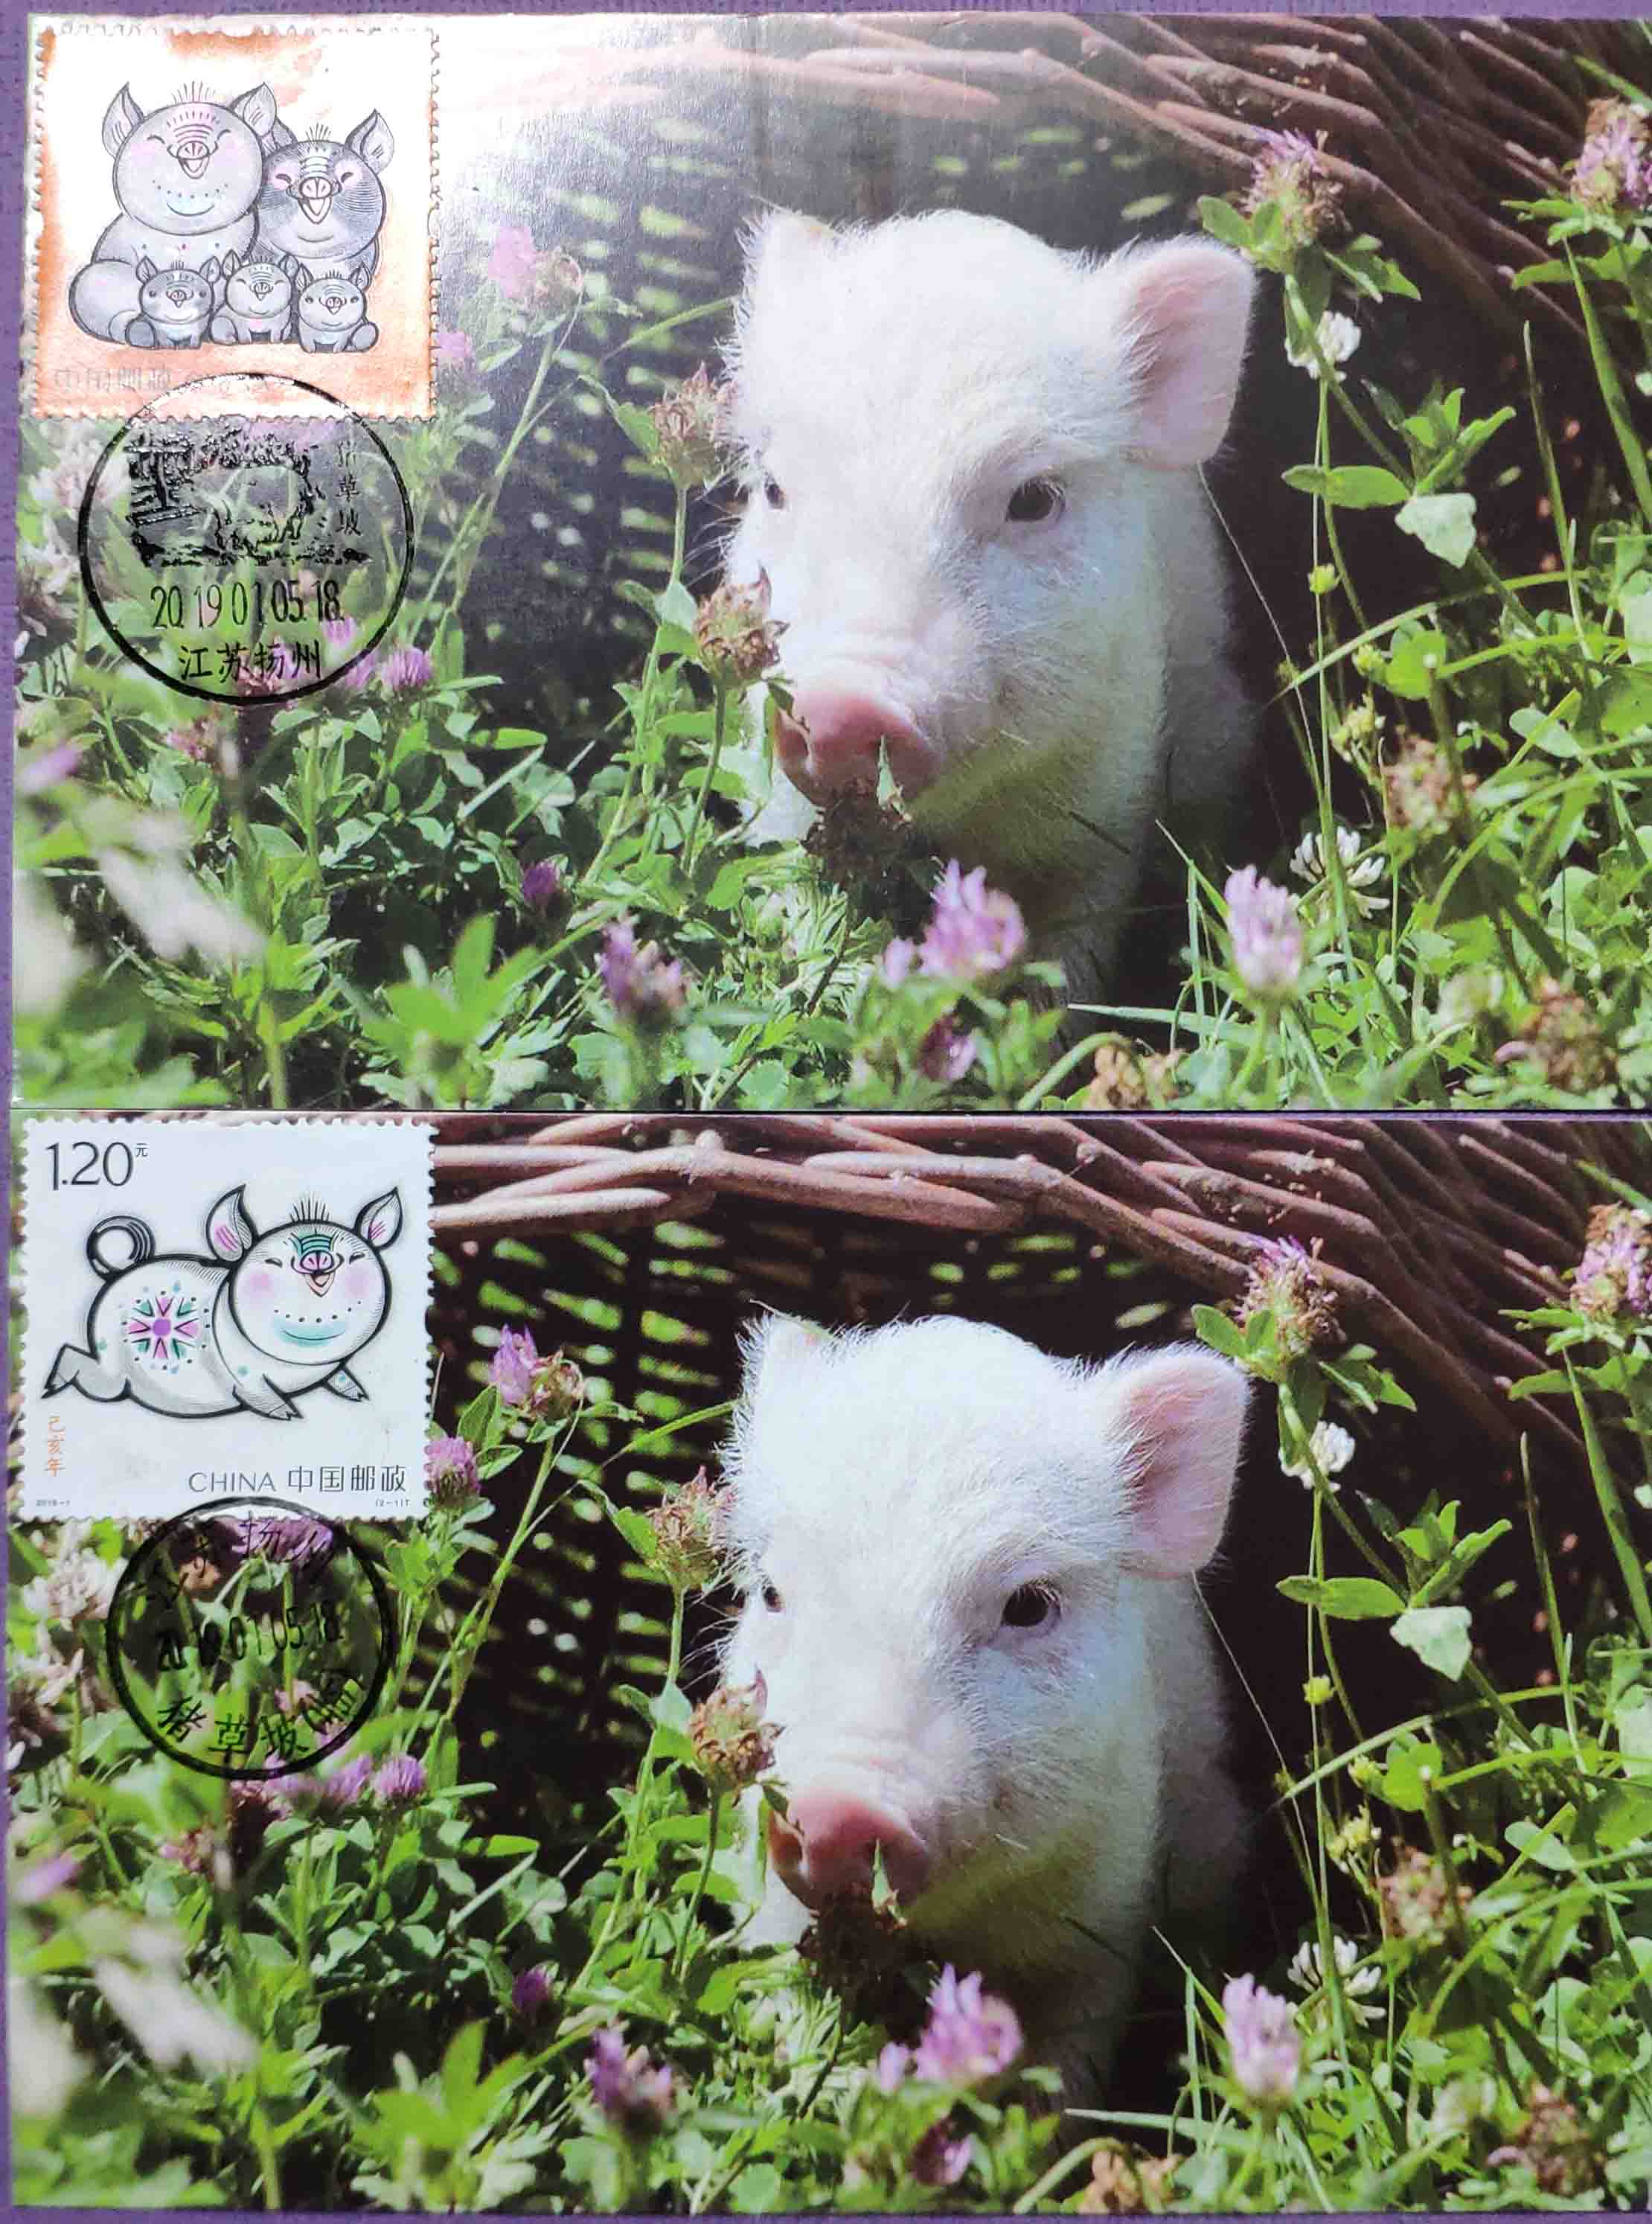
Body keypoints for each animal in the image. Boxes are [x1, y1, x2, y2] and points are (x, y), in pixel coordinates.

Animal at [44, 1185, 403, 1422]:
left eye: (354, 1258)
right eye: (274, 1262)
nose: (318, 1261)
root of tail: (116, 1273)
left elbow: (339, 1377)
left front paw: (357, 1393)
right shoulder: (244, 1377)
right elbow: (259, 1393)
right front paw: (288, 1414)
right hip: (113, 1373)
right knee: (78, 1361)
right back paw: (50, 1389)